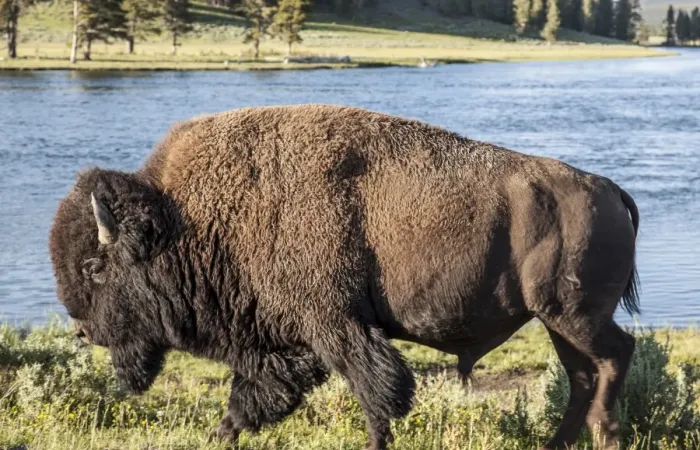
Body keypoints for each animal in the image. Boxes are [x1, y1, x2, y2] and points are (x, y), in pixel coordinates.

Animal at [49, 104, 640, 449]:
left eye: (94, 266)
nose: (83, 331)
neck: (184, 219)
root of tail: (609, 188)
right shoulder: (288, 344)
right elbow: (254, 397)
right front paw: (221, 435)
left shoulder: (337, 327)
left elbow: (377, 394)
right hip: (556, 321)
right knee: (582, 374)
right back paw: (560, 444)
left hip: (574, 314)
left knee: (614, 356)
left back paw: (606, 434)